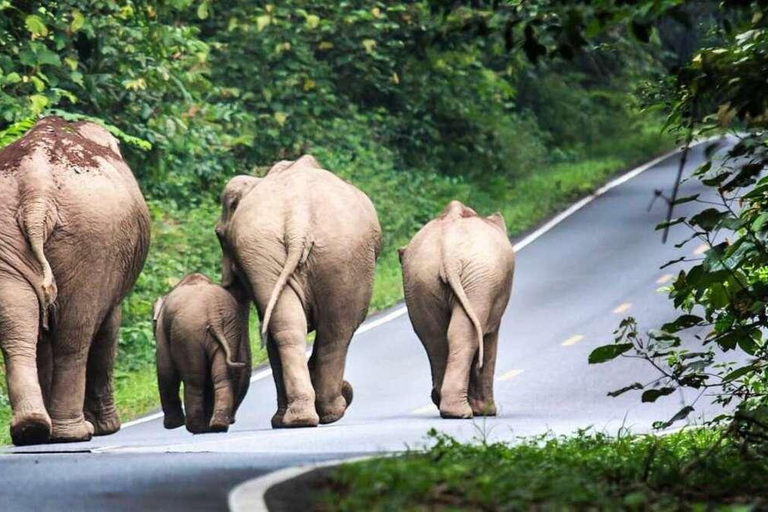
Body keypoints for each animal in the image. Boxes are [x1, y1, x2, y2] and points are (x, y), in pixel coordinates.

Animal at [0, 117, 151, 444]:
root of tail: (37, 191)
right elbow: (109, 326)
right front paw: (107, 428)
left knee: (18, 326)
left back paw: (32, 429)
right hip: (93, 241)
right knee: (75, 335)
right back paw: (74, 432)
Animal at [153, 272, 252, 432]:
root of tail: (214, 313)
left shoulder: (162, 329)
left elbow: (165, 371)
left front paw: (172, 425)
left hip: (189, 334)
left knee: (194, 379)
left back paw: (196, 427)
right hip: (230, 330)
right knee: (222, 375)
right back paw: (217, 425)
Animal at [213, 155, 380, 428]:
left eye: (218, 235)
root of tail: (297, 221)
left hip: (333, 252)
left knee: (315, 328)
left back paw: (307, 416)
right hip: (311, 252)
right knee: (329, 329)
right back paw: (323, 413)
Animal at [396, 202, 516, 418]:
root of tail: (448, 254)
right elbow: (489, 337)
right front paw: (488, 411)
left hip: (421, 280)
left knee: (435, 337)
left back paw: (446, 405)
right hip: (480, 281)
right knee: (465, 335)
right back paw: (462, 412)